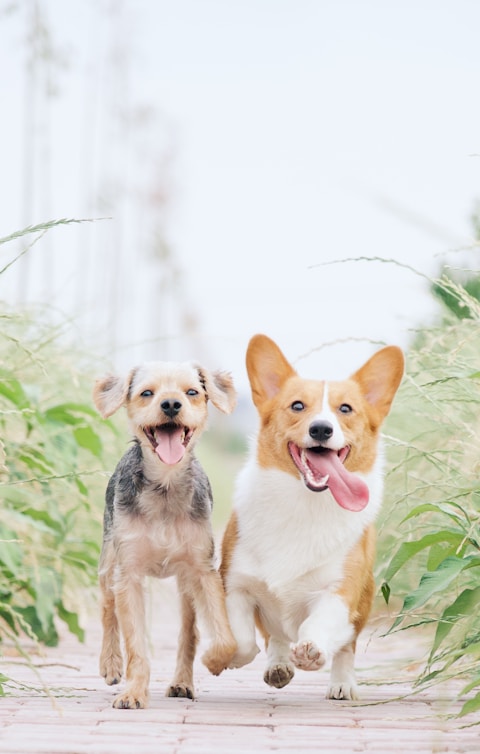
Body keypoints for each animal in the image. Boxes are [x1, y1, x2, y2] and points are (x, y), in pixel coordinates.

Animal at [93, 362, 237, 708]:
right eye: (147, 393)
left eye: (192, 392)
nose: (171, 404)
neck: (165, 485)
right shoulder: (128, 574)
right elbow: (135, 644)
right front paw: (133, 691)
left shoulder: (203, 570)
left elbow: (223, 636)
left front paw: (215, 660)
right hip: (108, 561)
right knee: (107, 608)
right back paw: (111, 664)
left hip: (185, 586)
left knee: (189, 632)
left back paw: (182, 683)